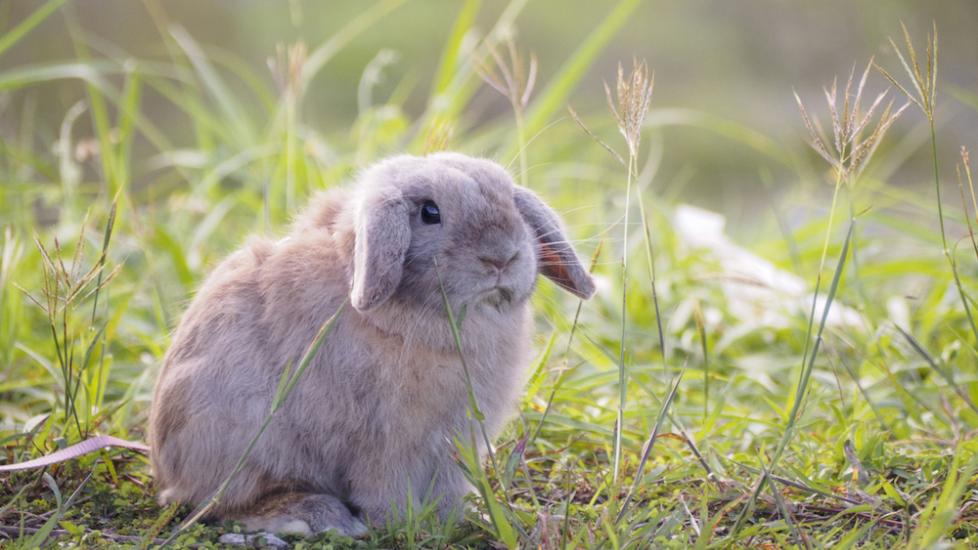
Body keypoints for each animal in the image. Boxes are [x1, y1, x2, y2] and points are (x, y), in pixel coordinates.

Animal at [149, 153, 596, 540]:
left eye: (511, 204)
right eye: (429, 212)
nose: (502, 257)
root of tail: (166, 472)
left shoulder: (456, 442)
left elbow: (448, 487)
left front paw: (452, 520)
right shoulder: (384, 439)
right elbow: (384, 486)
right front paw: (399, 524)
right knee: (226, 503)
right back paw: (319, 517)